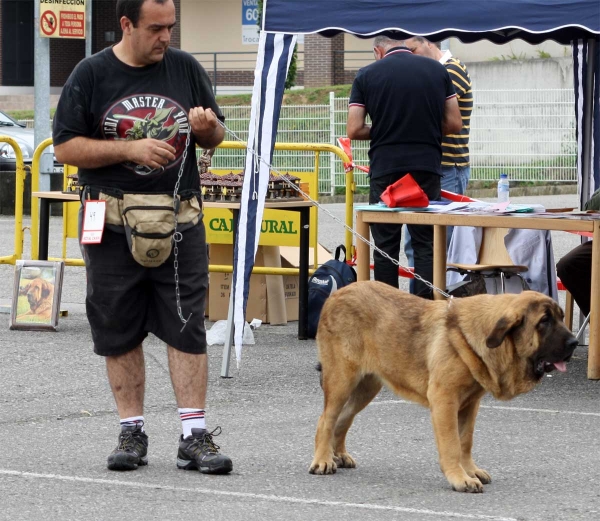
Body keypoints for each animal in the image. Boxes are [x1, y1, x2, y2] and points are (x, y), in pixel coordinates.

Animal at [310, 282, 576, 490]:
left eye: (561, 317)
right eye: (544, 321)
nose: (574, 342)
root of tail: (335, 295)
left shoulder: (469, 405)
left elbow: (465, 441)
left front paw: (469, 469)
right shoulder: (444, 401)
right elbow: (452, 444)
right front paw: (460, 478)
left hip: (367, 387)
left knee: (343, 418)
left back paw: (339, 454)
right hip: (342, 380)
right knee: (326, 419)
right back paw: (323, 460)